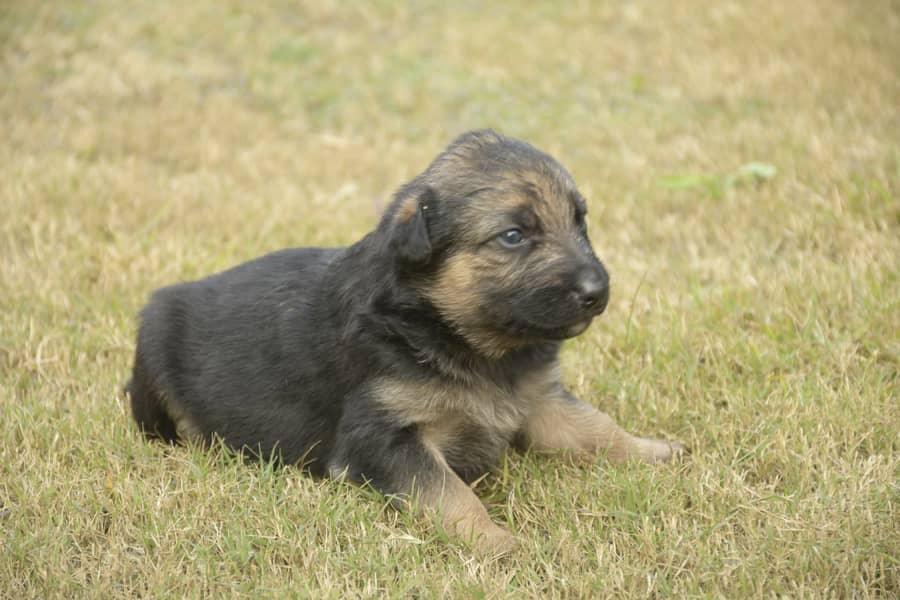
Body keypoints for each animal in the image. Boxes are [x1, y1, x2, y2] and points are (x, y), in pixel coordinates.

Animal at [126, 130, 684, 552]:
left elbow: (596, 428)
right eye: (513, 236)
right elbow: (450, 493)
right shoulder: (384, 436)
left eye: (580, 222)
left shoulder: (540, 400)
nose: (599, 291)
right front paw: (496, 542)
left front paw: (652, 449)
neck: (463, 338)